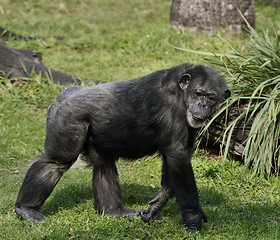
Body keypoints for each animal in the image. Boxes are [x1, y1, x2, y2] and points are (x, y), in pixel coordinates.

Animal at [14, 62, 230, 232]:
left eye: (211, 98)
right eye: (199, 93)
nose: (202, 105)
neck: (181, 92)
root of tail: (65, 93)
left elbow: (176, 158)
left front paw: (158, 203)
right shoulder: (172, 108)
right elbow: (177, 155)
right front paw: (193, 219)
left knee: (103, 166)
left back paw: (114, 212)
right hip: (68, 119)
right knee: (55, 162)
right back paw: (26, 209)